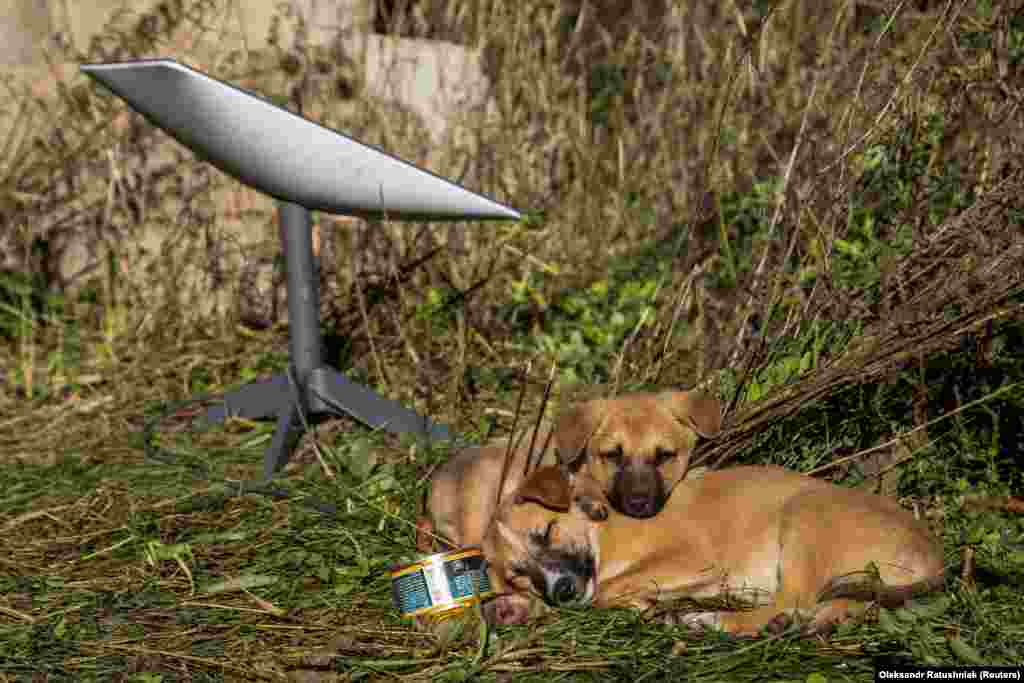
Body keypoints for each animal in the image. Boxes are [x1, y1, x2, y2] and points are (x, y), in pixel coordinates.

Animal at [479, 464, 942, 634]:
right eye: (519, 574)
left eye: (547, 531)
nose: (561, 591)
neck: (604, 531)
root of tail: (933, 551)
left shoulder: (693, 557)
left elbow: (608, 592)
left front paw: (646, 606)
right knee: (835, 606)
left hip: (804, 513)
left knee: (792, 601)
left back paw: (712, 619)